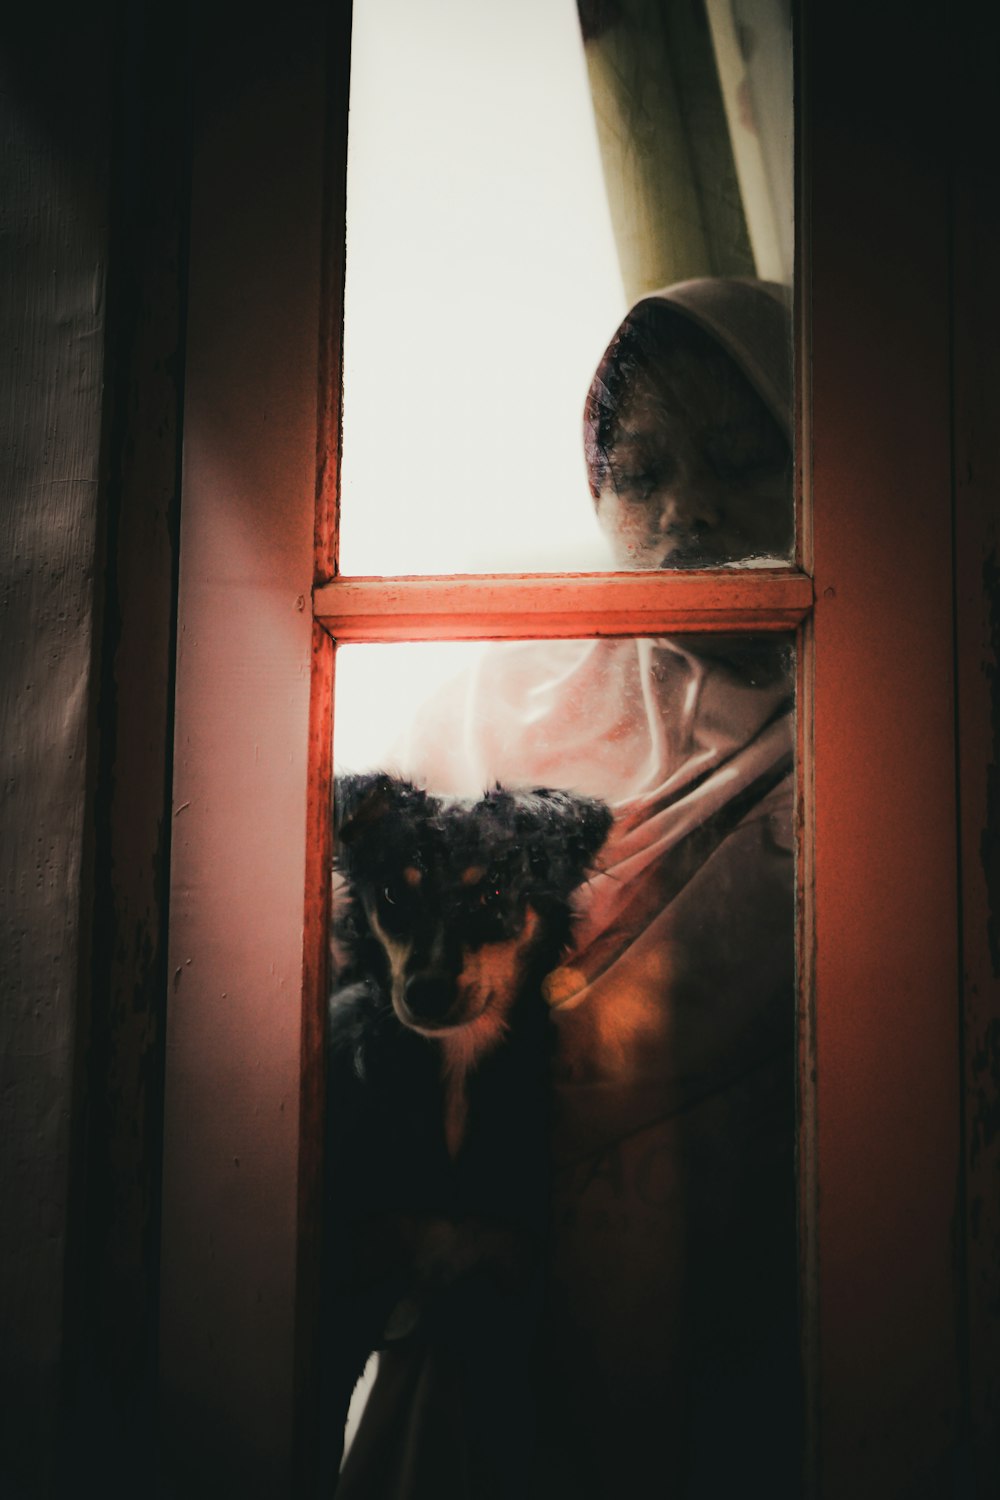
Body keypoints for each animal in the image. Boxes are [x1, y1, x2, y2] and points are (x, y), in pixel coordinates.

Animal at [325, 780, 614, 1494]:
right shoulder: (348, 1299)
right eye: (392, 894)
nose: (425, 993)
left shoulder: (500, 1318)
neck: (453, 1071)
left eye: (493, 892)